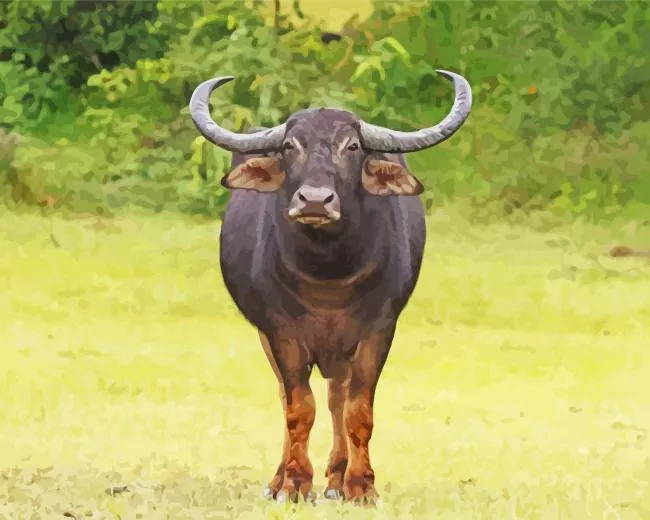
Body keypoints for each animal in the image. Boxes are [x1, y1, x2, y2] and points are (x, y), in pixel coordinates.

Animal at [189, 70, 472, 504]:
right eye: (289, 146)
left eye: (352, 146)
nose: (315, 201)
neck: (328, 275)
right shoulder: (281, 332)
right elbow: (298, 407)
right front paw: (294, 483)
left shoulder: (378, 331)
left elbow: (358, 410)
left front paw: (361, 486)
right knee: (288, 394)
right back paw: (281, 479)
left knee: (338, 396)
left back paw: (337, 479)